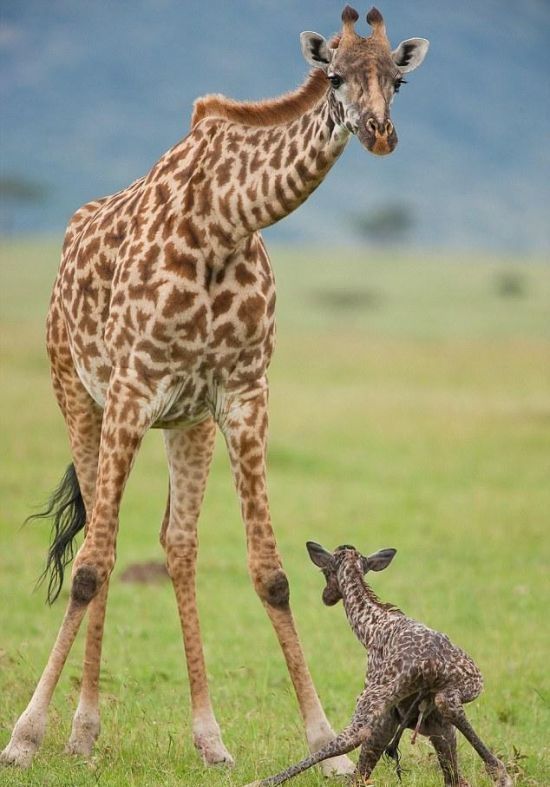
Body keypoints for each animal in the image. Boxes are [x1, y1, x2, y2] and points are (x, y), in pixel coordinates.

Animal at [0, 6, 432, 776]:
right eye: (334, 75)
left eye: (399, 80)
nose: (379, 132)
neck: (227, 219)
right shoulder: (133, 388)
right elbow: (90, 566)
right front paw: (26, 734)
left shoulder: (243, 394)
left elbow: (272, 573)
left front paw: (325, 744)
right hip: (78, 396)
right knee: (99, 544)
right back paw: (82, 730)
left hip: (187, 423)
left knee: (177, 544)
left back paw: (207, 735)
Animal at [248, 540, 516, 787]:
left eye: (324, 571)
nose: (326, 597)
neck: (370, 627)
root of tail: (429, 665)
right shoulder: (429, 721)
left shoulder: (382, 706)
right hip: (468, 685)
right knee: (450, 718)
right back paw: (501, 774)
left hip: (374, 700)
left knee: (349, 738)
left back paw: (261, 781)